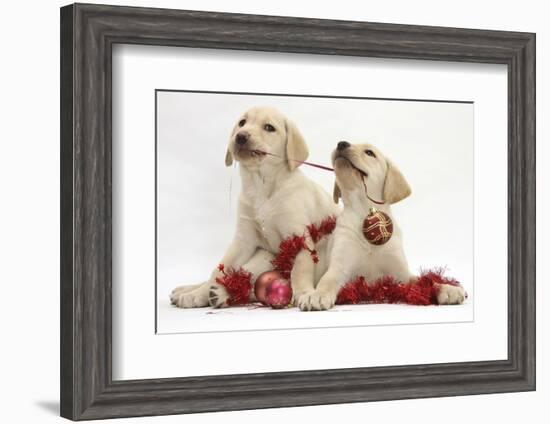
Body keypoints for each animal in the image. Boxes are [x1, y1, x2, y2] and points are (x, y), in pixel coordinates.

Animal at [170, 107, 338, 308]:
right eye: (242, 123)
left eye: (269, 127)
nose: (241, 136)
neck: (260, 185)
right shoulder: (243, 239)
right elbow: (220, 269)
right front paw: (199, 293)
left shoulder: (299, 236)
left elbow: (300, 270)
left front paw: (306, 293)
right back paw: (192, 292)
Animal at [300, 141, 468, 310]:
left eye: (369, 153)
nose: (341, 143)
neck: (365, 210)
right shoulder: (339, 267)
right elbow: (327, 281)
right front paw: (316, 294)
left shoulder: (402, 273)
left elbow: (425, 281)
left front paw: (446, 288)